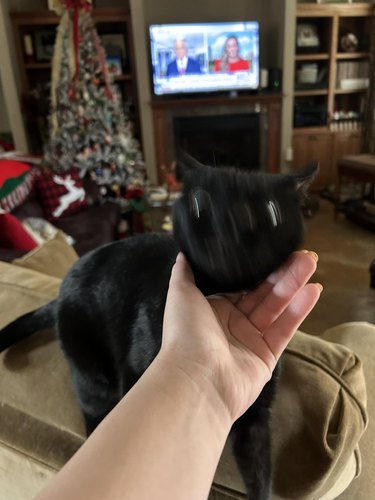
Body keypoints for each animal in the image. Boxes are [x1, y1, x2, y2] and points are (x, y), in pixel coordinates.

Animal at [0, 154, 318, 498]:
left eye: (270, 212)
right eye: (200, 203)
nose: (229, 229)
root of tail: (58, 295)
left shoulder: (256, 419)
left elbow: (260, 477)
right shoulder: (136, 377)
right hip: (95, 377)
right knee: (93, 415)